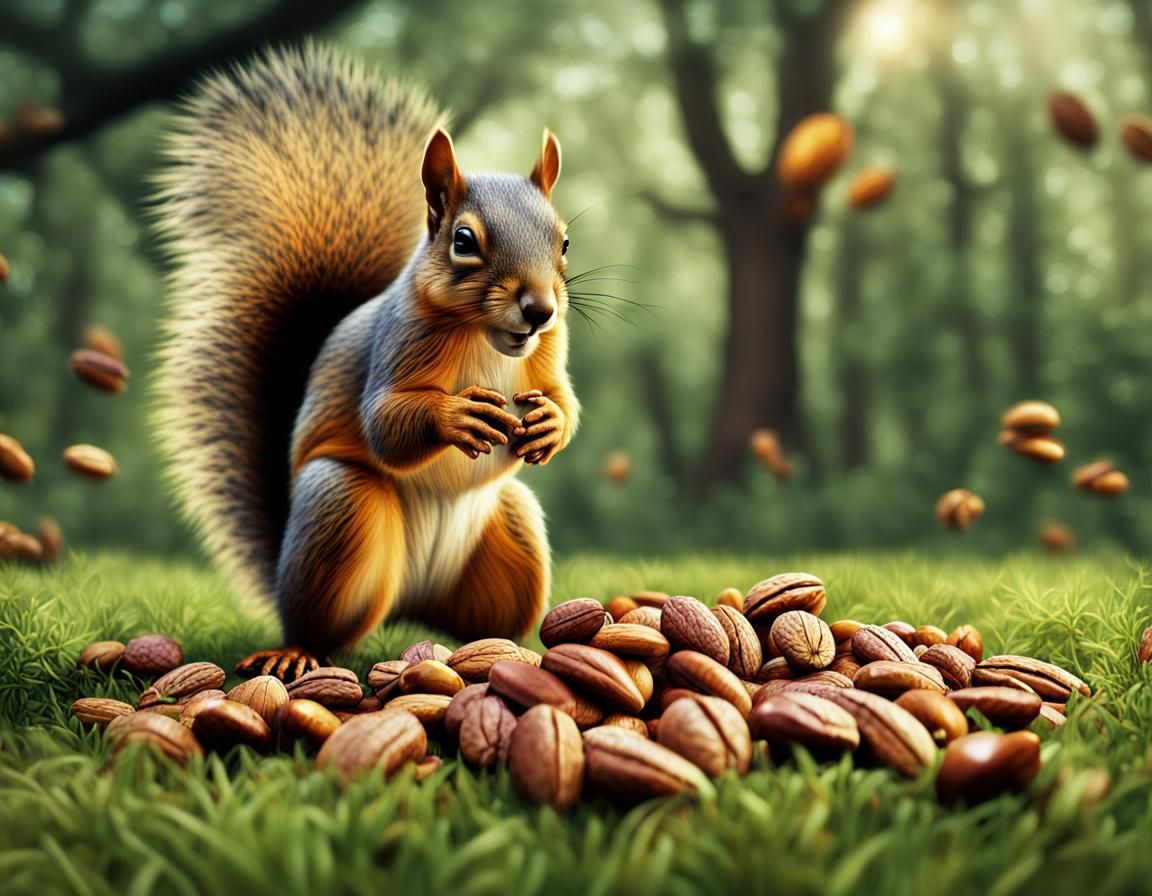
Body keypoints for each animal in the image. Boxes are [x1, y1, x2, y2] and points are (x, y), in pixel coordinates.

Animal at [153, 44, 579, 680]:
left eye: (565, 241)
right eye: (462, 241)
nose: (540, 311)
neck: (488, 340)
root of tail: (408, 602)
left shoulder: (549, 359)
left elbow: (565, 400)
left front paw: (550, 422)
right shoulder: (395, 343)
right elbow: (384, 423)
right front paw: (456, 416)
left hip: (515, 535)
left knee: (484, 622)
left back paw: (516, 651)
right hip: (341, 506)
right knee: (321, 622)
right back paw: (296, 651)